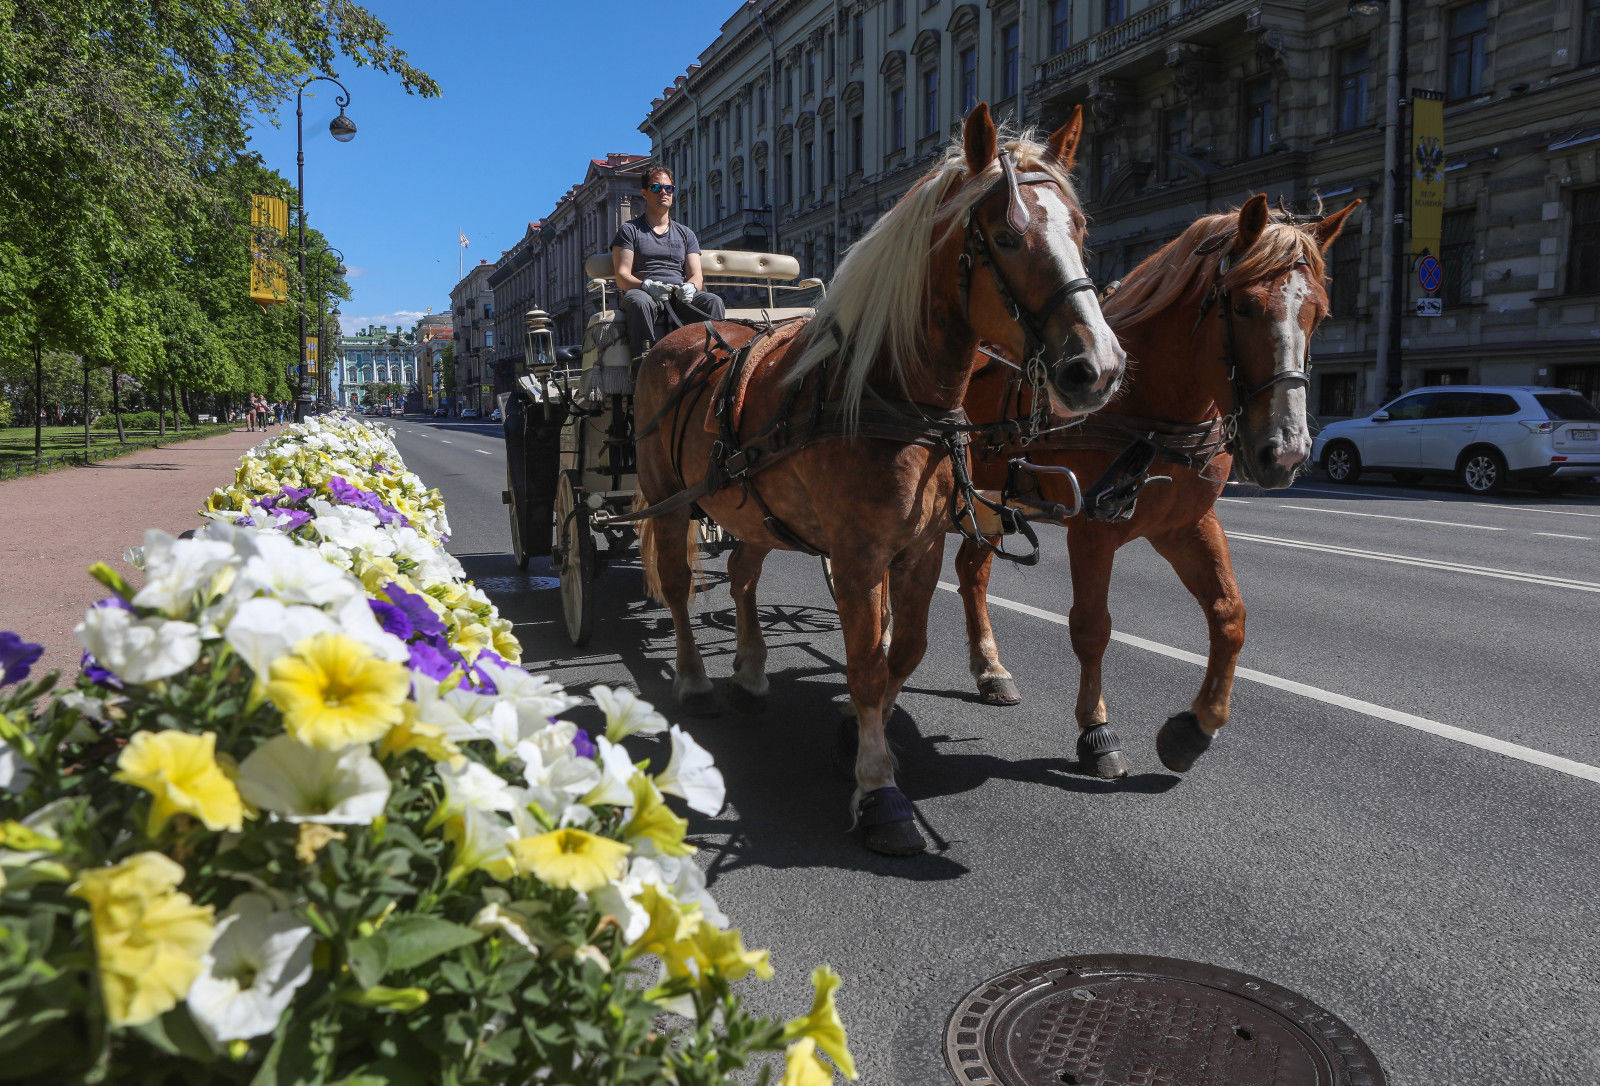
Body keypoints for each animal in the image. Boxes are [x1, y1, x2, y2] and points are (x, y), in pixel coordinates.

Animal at [627, 107, 1126, 857]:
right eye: (1008, 235)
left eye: (1081, 228)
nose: (1097, 368)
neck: (887, 393)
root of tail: (682, 333)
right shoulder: (859, 557)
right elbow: (864, 661)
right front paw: (878, 790)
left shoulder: (919, 549)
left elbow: (904, 651)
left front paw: (857, 740)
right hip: (666, 501)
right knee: (683, 588)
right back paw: (694, 680)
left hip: (749, 509)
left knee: (742, 577)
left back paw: (749, 670)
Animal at [953, 191, 1356, 777]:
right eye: (1243, 306)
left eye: (1319, 314)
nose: (1285, 453)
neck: (1146, 412)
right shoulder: (1091, 532)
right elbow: (1091, 627)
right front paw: (1096, 730)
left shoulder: (1184, 524)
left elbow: (1229, 615)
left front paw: (1197, 725)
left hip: (988, 505)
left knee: (972, 572)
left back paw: (990, 670)